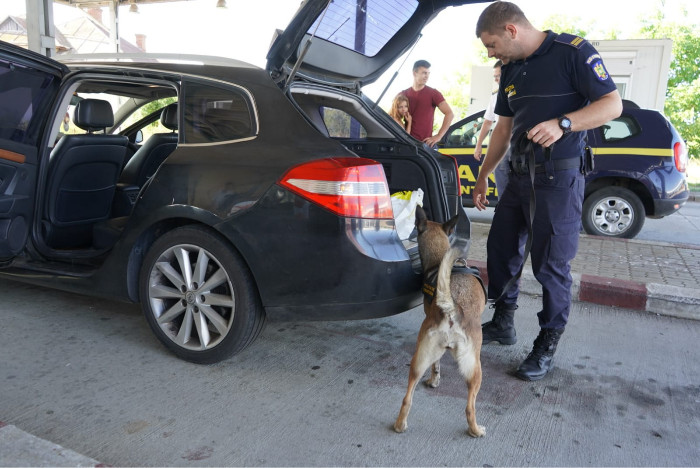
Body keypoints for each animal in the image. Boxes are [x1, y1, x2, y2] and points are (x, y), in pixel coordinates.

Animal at [394, 207, 486, 436]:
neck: (438, 260)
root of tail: (452, 310)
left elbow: (436, 366)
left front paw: (434, 380)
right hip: (475, 370)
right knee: (469, 407)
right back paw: (475, 430)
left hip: (419, 360)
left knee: (407, 397)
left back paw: (400, 425)